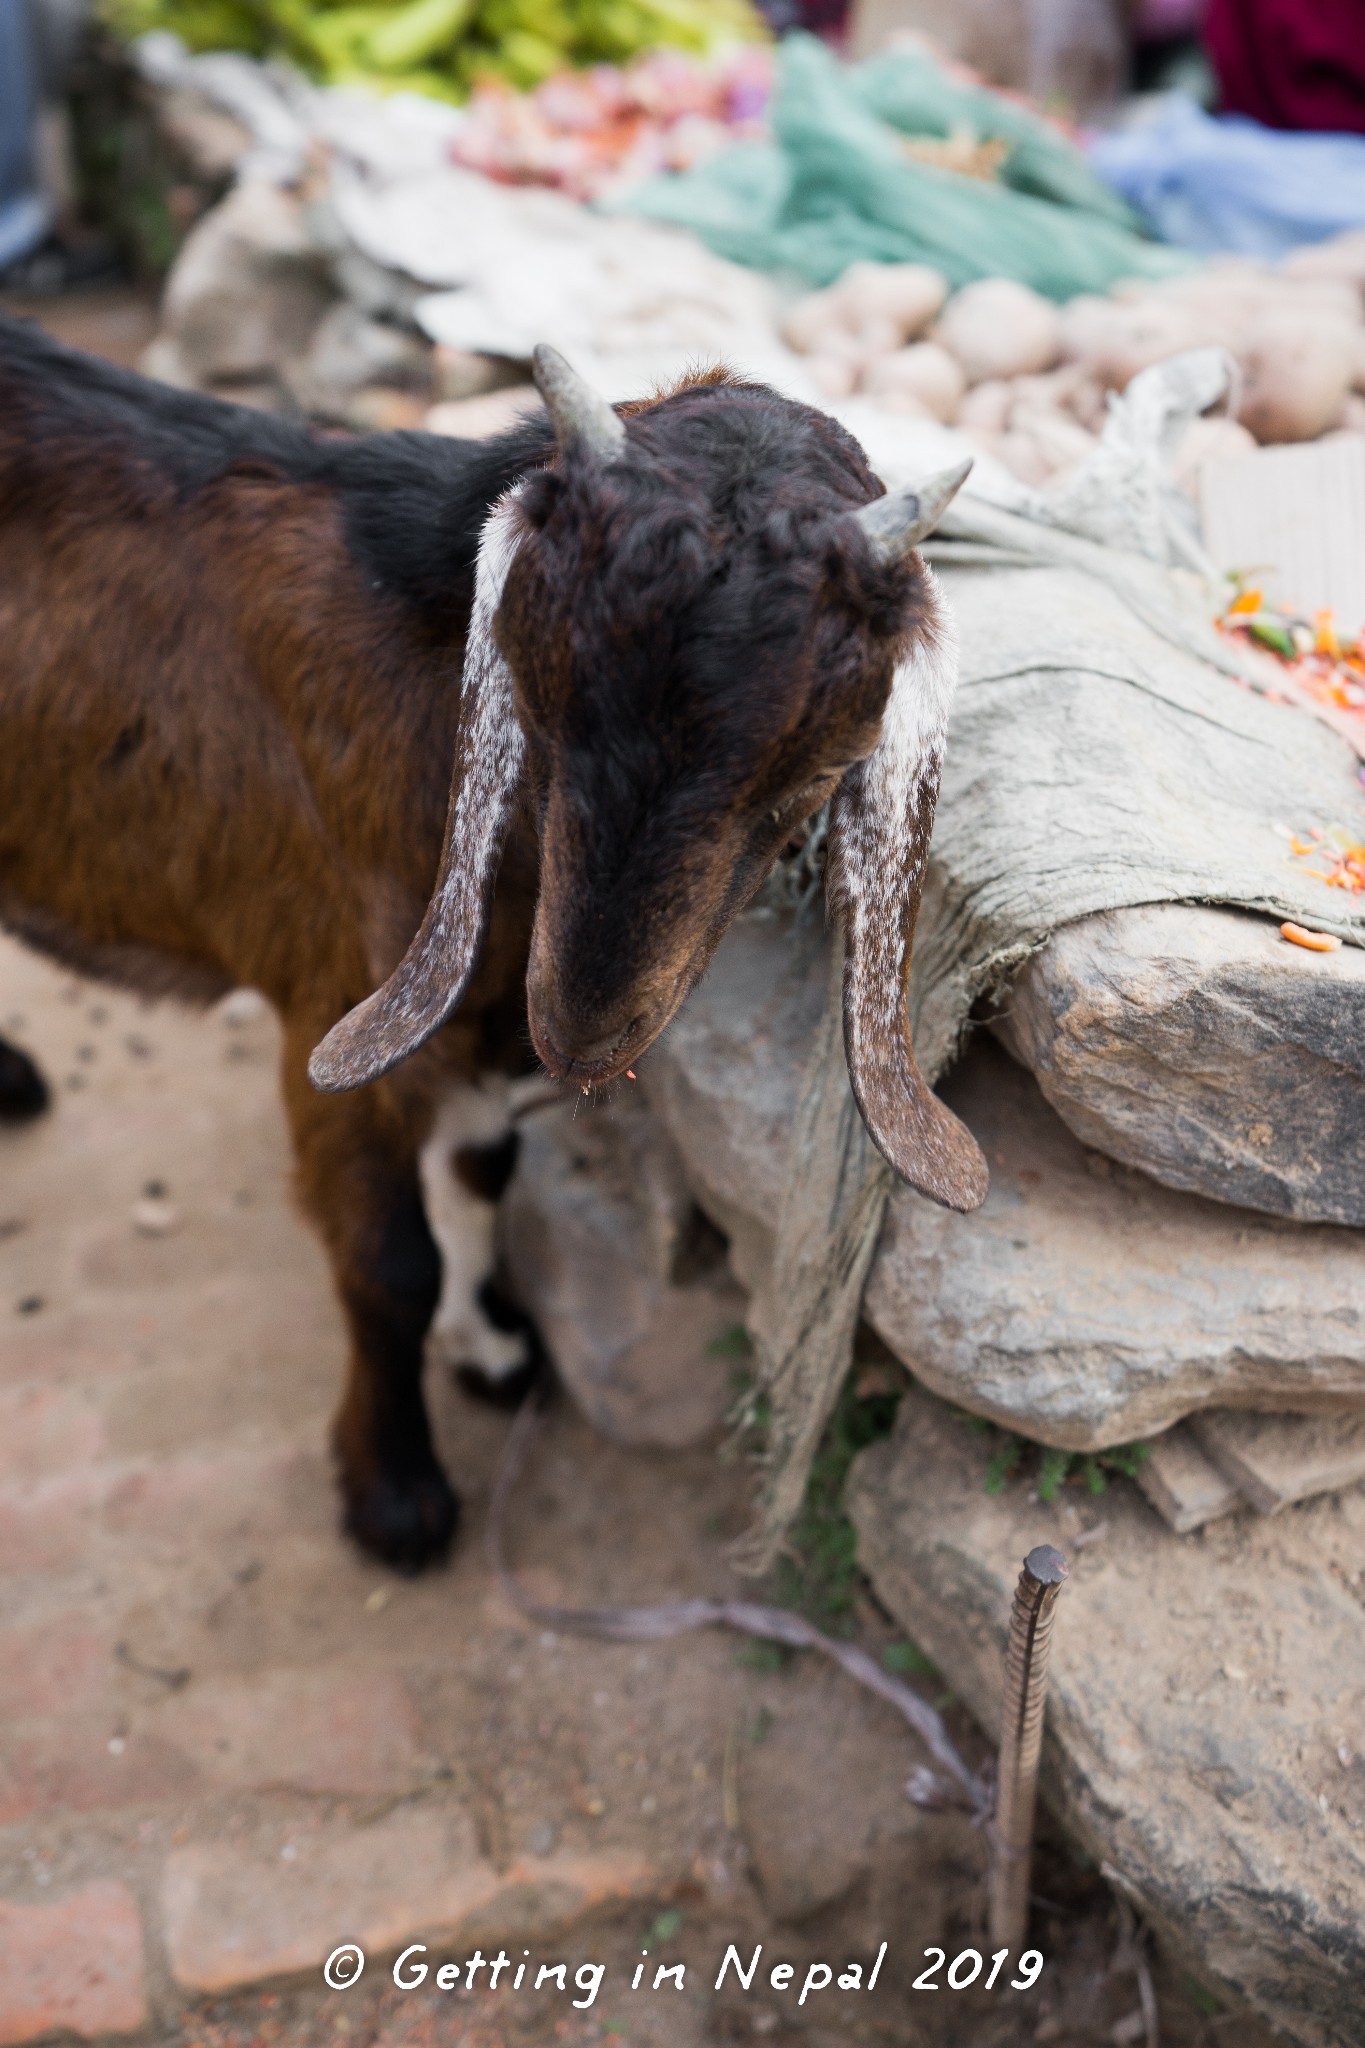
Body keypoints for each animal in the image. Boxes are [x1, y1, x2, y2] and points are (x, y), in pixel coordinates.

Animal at [0, 315, 986, 1564]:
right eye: (538, 690)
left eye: (811, 771)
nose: (580, 1030)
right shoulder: (331, 996)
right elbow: (389, 1263)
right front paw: (397, 1495)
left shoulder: (474, 1026)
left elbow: (479, 1173)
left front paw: (494, 1347)